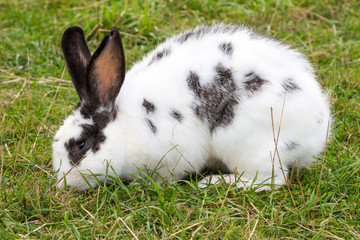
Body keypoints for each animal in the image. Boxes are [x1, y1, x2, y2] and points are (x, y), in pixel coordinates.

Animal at [52, 23, 330, 191]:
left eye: (81, 145)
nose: (63, 185)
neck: (125, 128)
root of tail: (318, 127)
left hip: (244, 142)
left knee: (269, 179)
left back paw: (215, 182)